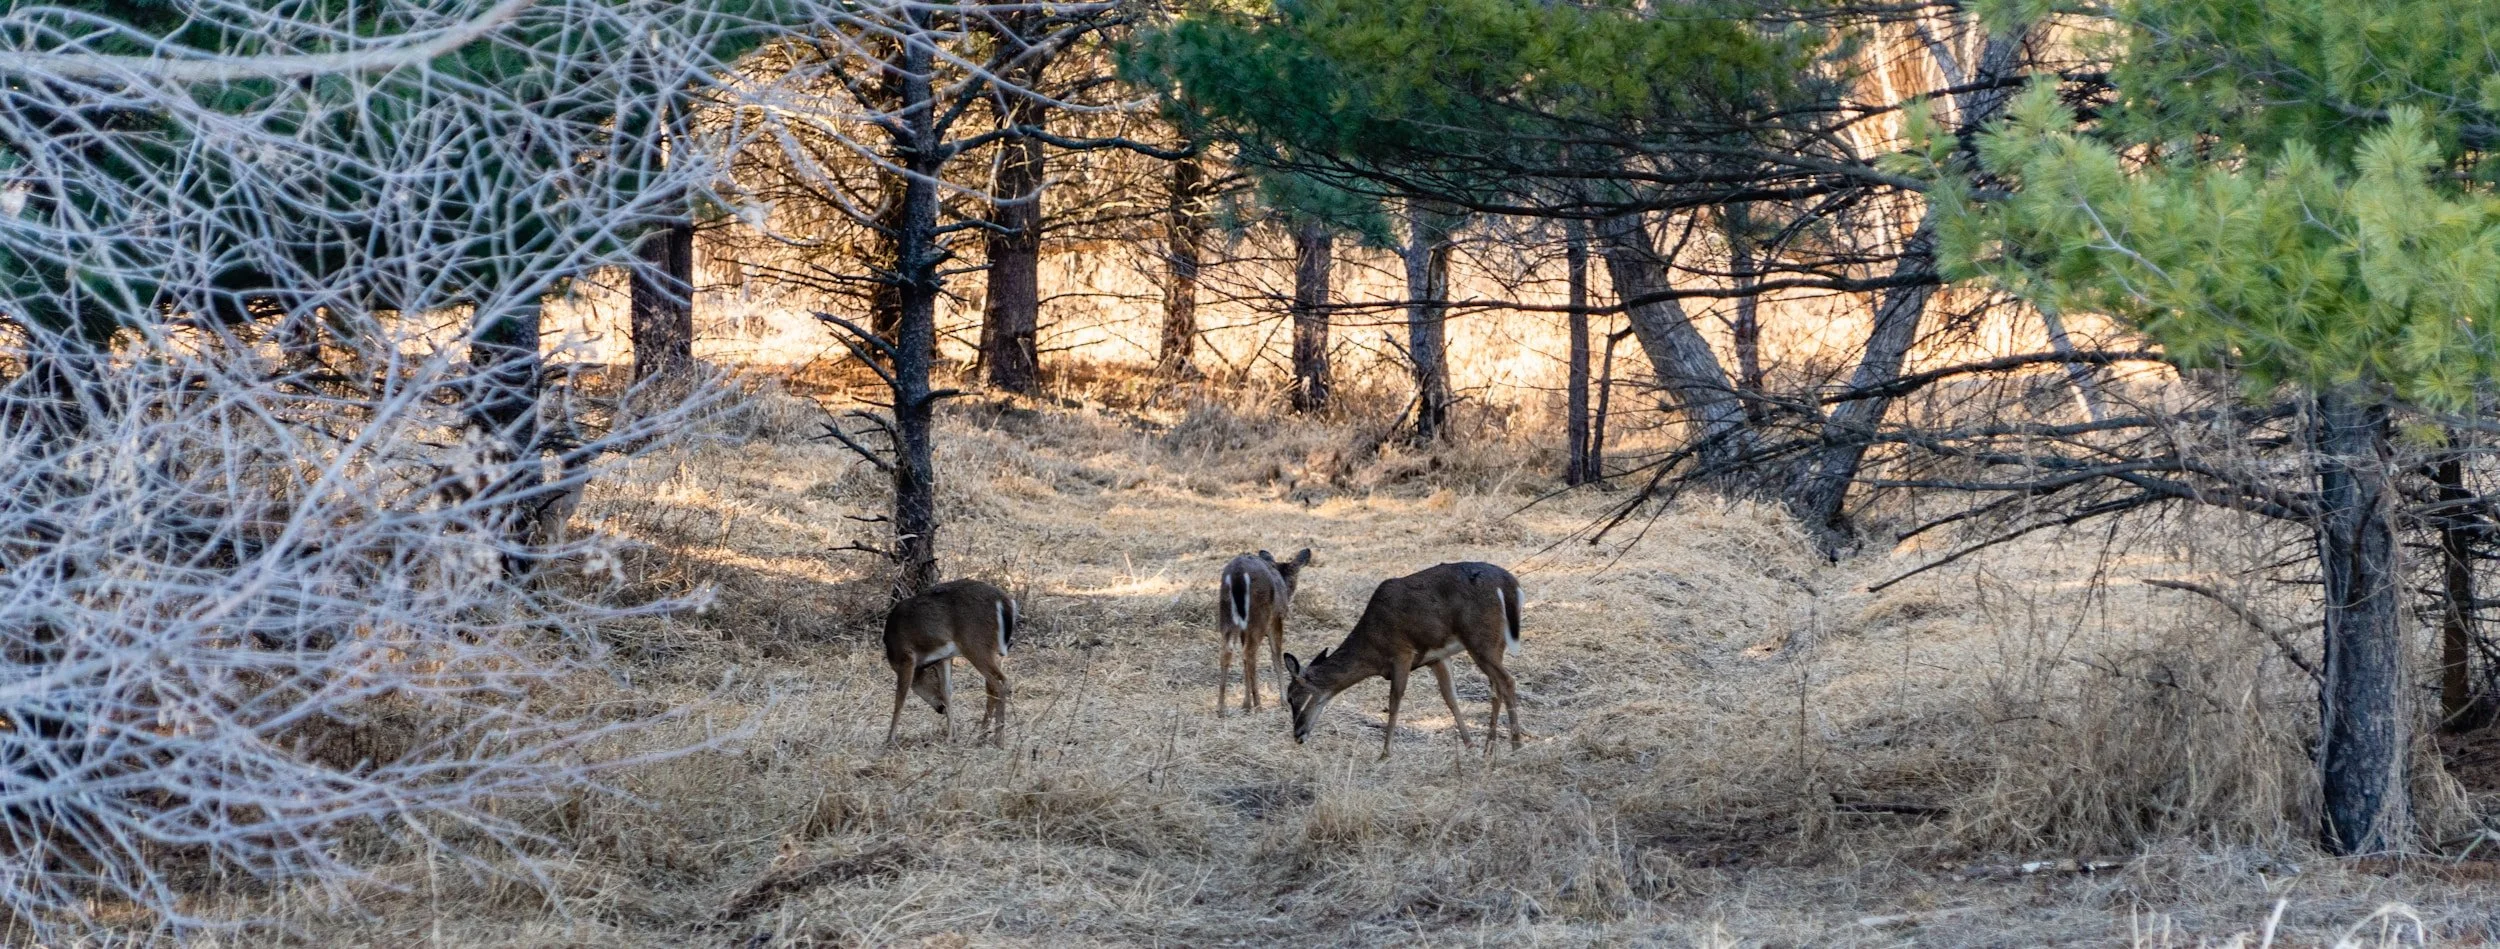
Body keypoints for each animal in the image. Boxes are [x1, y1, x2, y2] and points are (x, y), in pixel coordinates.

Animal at [882, 579, 1017, 746]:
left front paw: (889, 740)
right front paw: (951, 737)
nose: (940, 708)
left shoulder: (906, 657)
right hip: (991, 650)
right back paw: (983, 736)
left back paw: (998, 739)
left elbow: (900, 698)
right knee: (996, 686)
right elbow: (948, 692)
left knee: (1000, 684)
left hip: (975, 646)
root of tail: (1005, 601)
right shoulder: (943, 658)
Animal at [1217, 547, 1313, 714]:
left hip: (1227, 614)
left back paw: (1221, 708)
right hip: (1259, 616)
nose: (1291, 592)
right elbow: (1277, 657)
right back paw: (1258, 705)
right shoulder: (1277, 619)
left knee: (1229, 651)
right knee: (1249, 653)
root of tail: (1238, 574)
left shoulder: (1244, 628)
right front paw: (1284, 702)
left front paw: (1245, 704)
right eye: (1295, 574)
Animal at [1283, 561, 1524, 757]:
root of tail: (1511, 585)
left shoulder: (1401, 653)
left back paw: (1517, 746)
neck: (1372, 647)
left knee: (1507, 681)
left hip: (1480, 639)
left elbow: (1394, 701)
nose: (1297, 734)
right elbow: (1450, 699)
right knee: (1495, 688)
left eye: (1292, 697)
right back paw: (1489, 748)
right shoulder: (1436, 657)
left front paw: (1385, 753)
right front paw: (1469, 745)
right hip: (1496, 642)